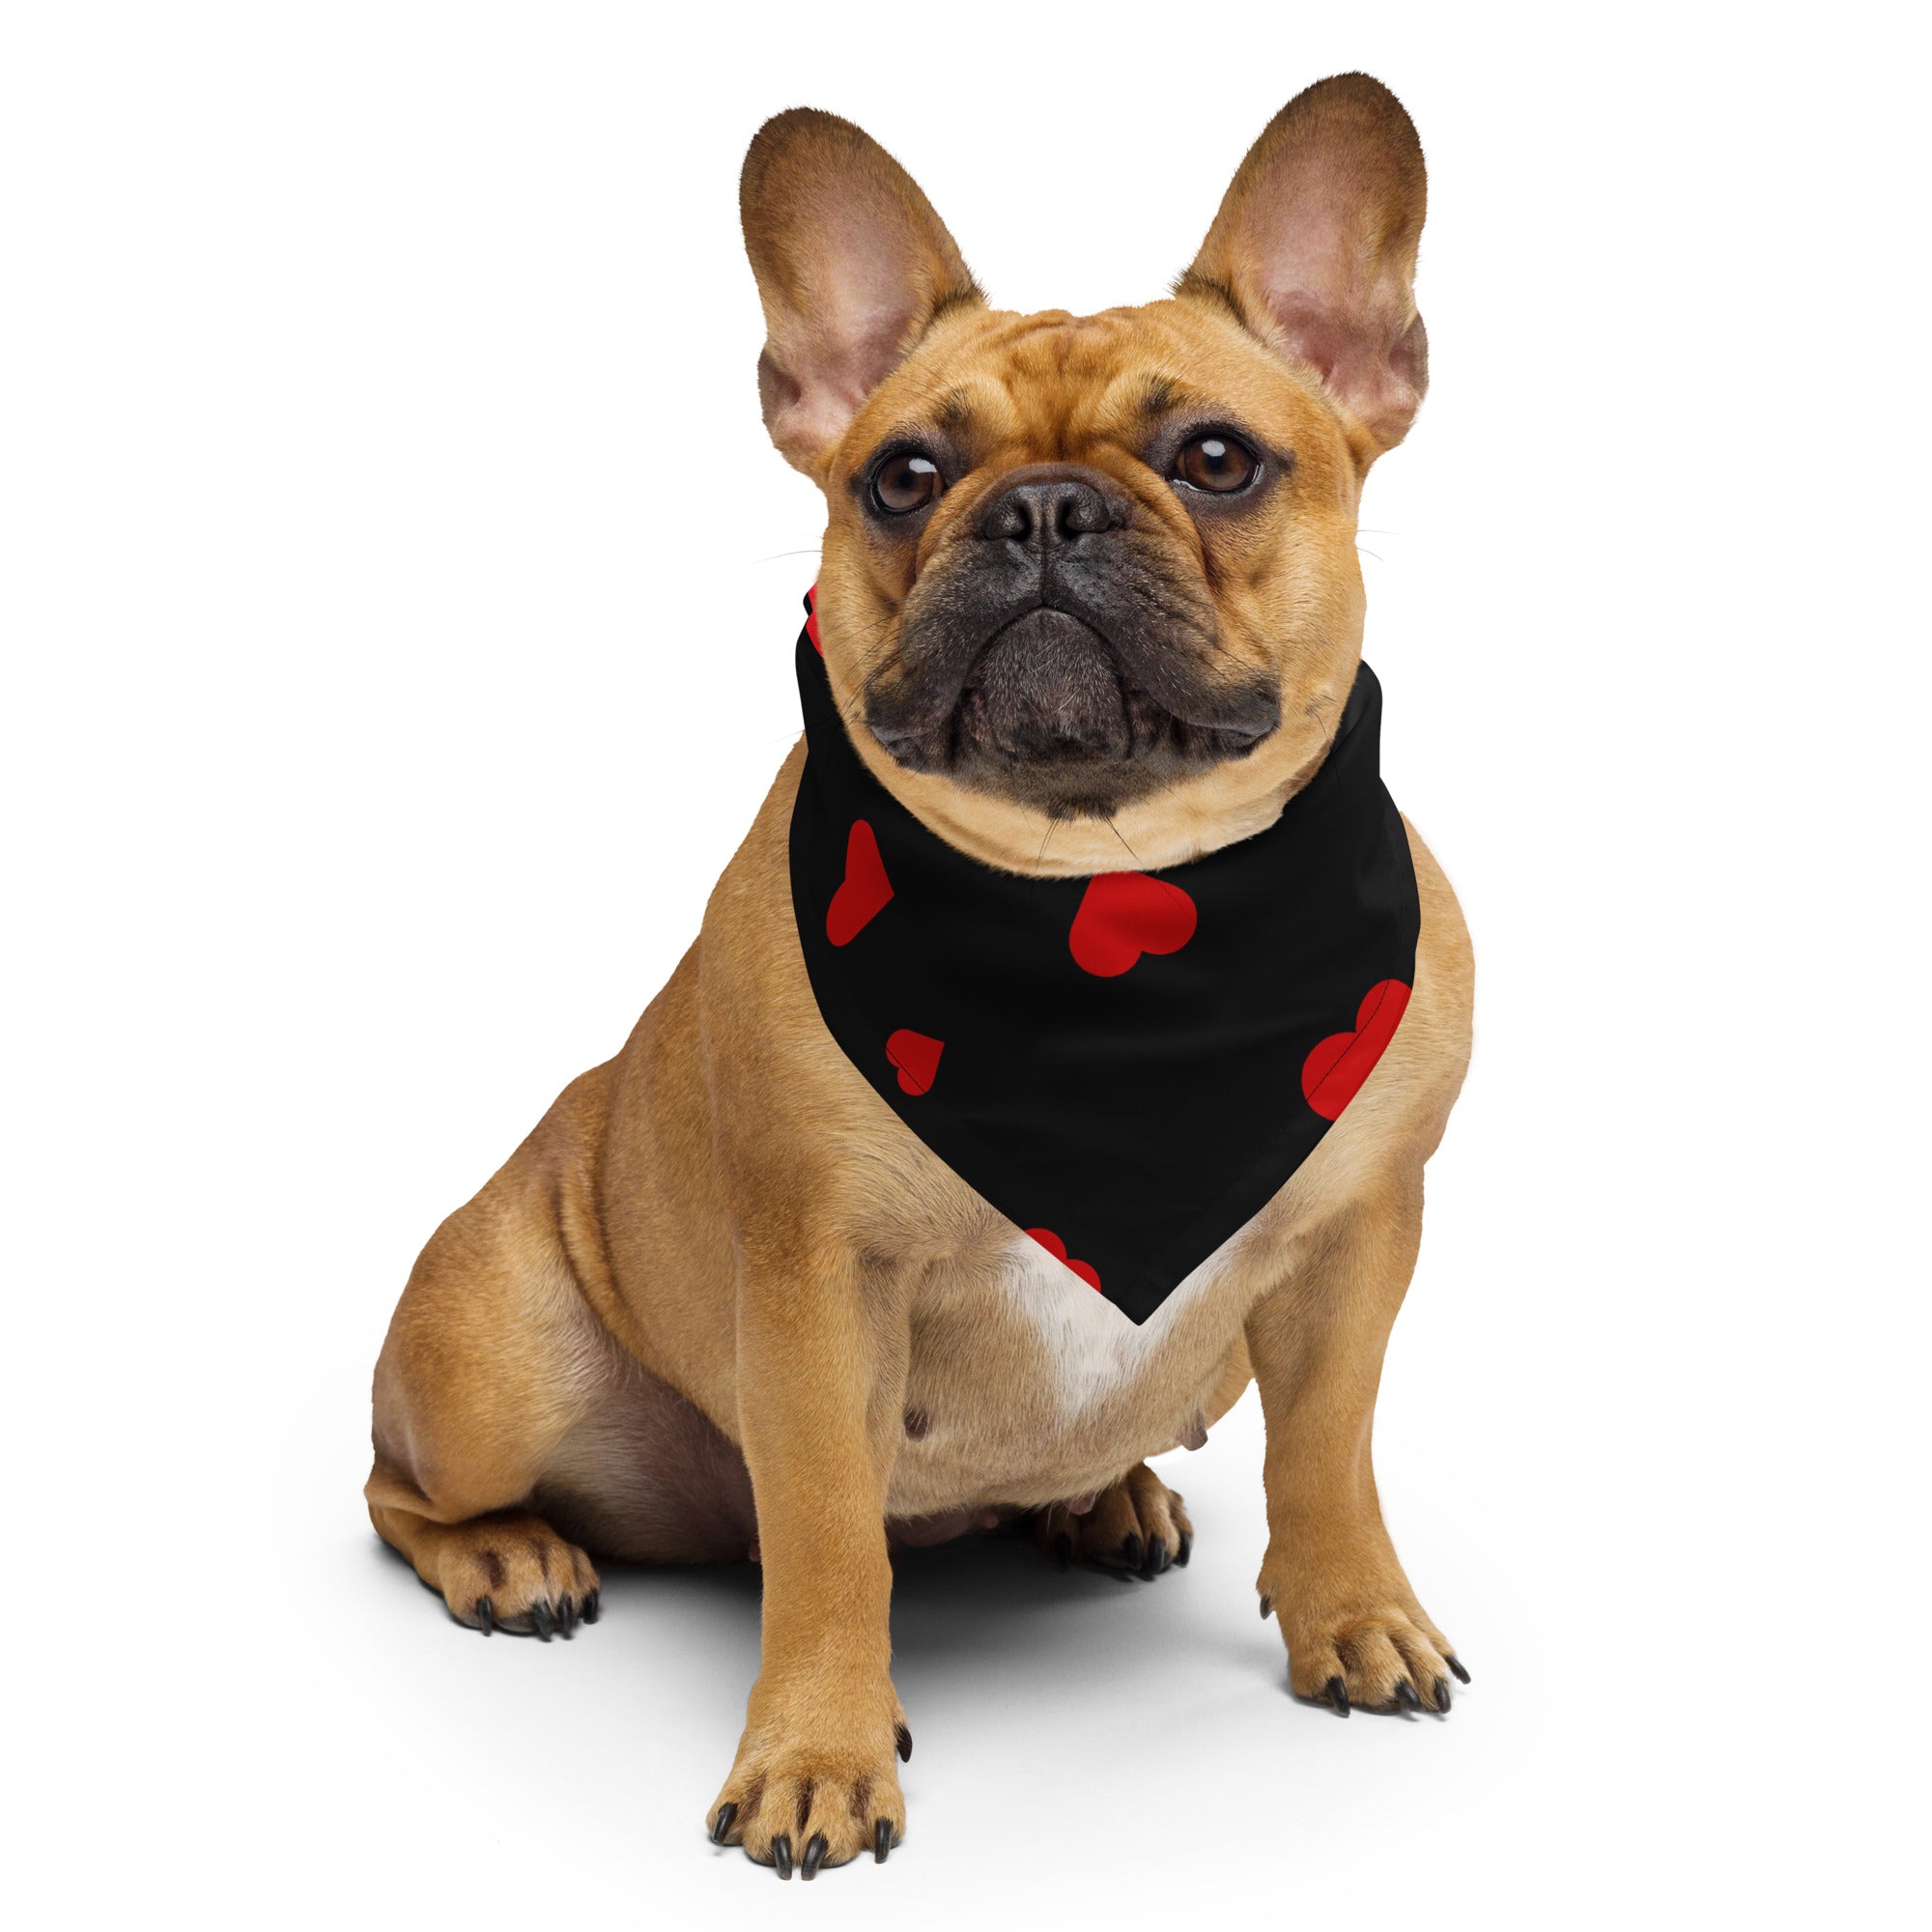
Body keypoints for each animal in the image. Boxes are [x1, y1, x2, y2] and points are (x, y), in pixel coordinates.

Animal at [369, 71, 1468, 1870]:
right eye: (902, 475)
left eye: (1218, 459)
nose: (1040, 507)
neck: (1110, 908)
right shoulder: (820, 1287)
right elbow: (828, 1542)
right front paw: (817, 1754)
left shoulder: (1356, 1244)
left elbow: (1331, 1454)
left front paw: (1354, 1615)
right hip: (494, 1360)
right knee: (406, 1489)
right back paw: (513, 1556)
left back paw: (1107, 1495)